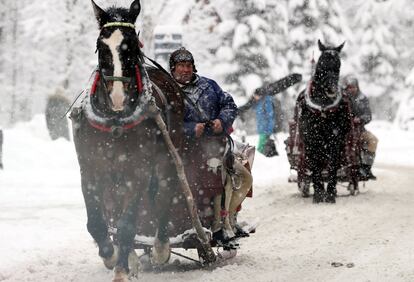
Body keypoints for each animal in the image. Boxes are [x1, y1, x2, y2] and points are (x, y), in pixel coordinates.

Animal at [70, 1, 192, 280]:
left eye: (133, 45)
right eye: (101, 45)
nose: (118, 97)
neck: (115, 120)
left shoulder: (137, 171)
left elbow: (127, 224)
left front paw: (121, 270)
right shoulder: (89, 170)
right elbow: (96, 222)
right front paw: (111, 255)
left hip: (167, 157)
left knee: (164, 194)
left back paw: (160, 247)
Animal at [296, 40, 350, 203]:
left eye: (338, 65)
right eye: (321, 63)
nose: (332, 90)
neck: (323, 109)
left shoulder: (335, 139)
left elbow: (332, 165)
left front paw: (330, 194)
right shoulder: (311, 140)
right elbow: (315, 166)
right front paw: (319, 194)